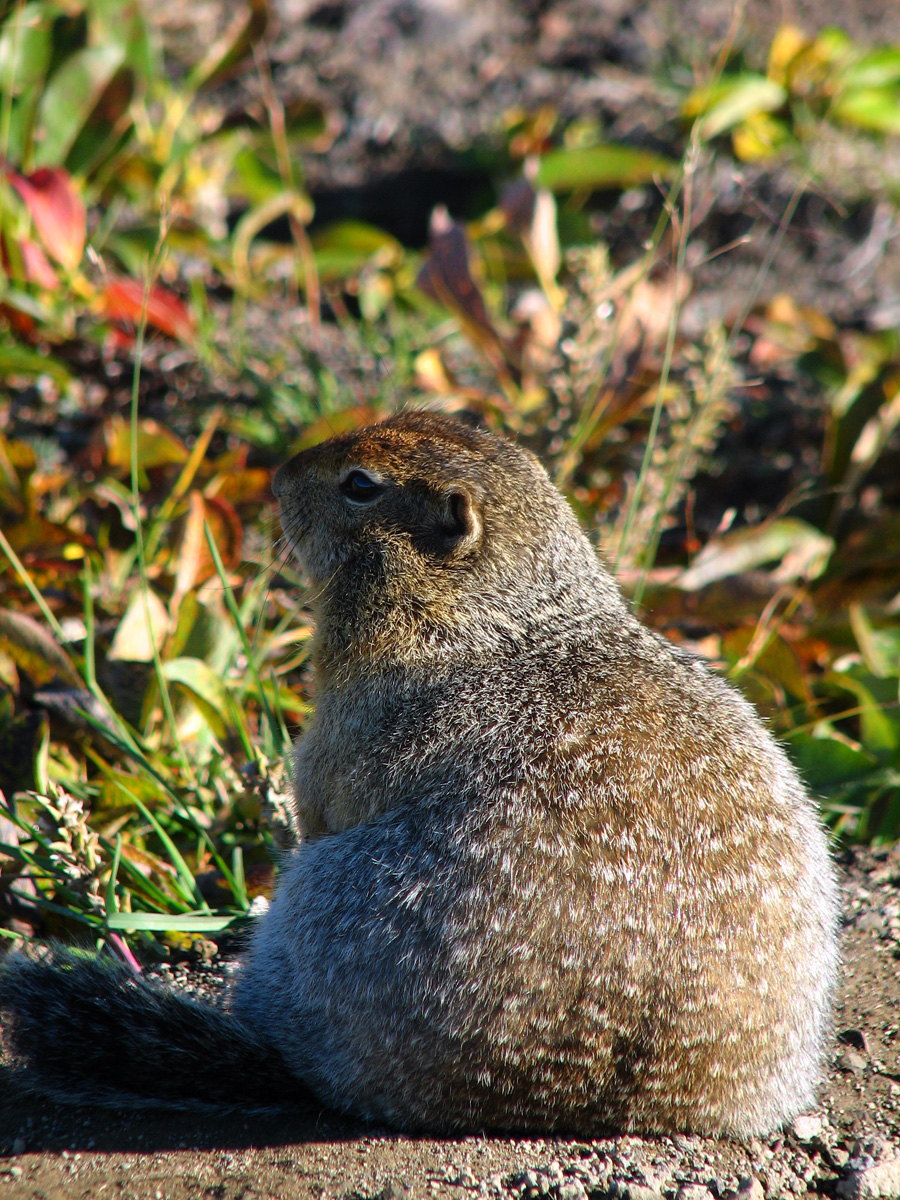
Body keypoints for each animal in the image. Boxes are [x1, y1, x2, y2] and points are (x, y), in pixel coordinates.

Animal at [3, 412, 844, 1132]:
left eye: (360, 484)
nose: (278, 474)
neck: (494, 615)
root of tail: (575, 1092)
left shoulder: (340, 724)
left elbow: (320, 793)